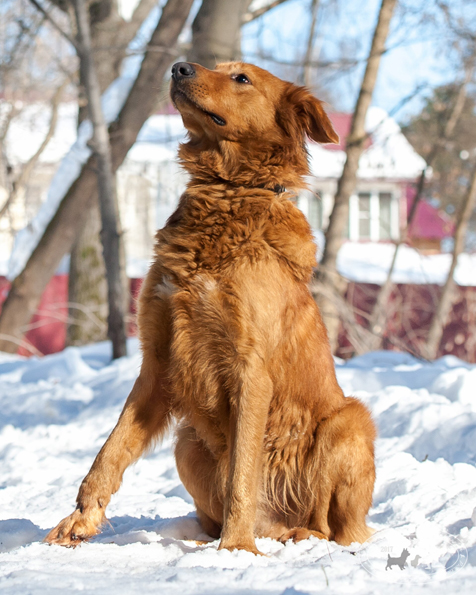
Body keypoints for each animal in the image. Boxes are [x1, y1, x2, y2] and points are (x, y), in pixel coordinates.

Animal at [46, 60, 378, 556]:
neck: (227, 194)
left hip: (348, 422)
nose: (178, 66)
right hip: (187, 443)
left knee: (331, 528)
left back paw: (294, 536)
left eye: (242, 78)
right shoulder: (157, 362)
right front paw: (81, 519)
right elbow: (110, 451)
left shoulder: (250, 371)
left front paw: (237, 549)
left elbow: (242, 474)